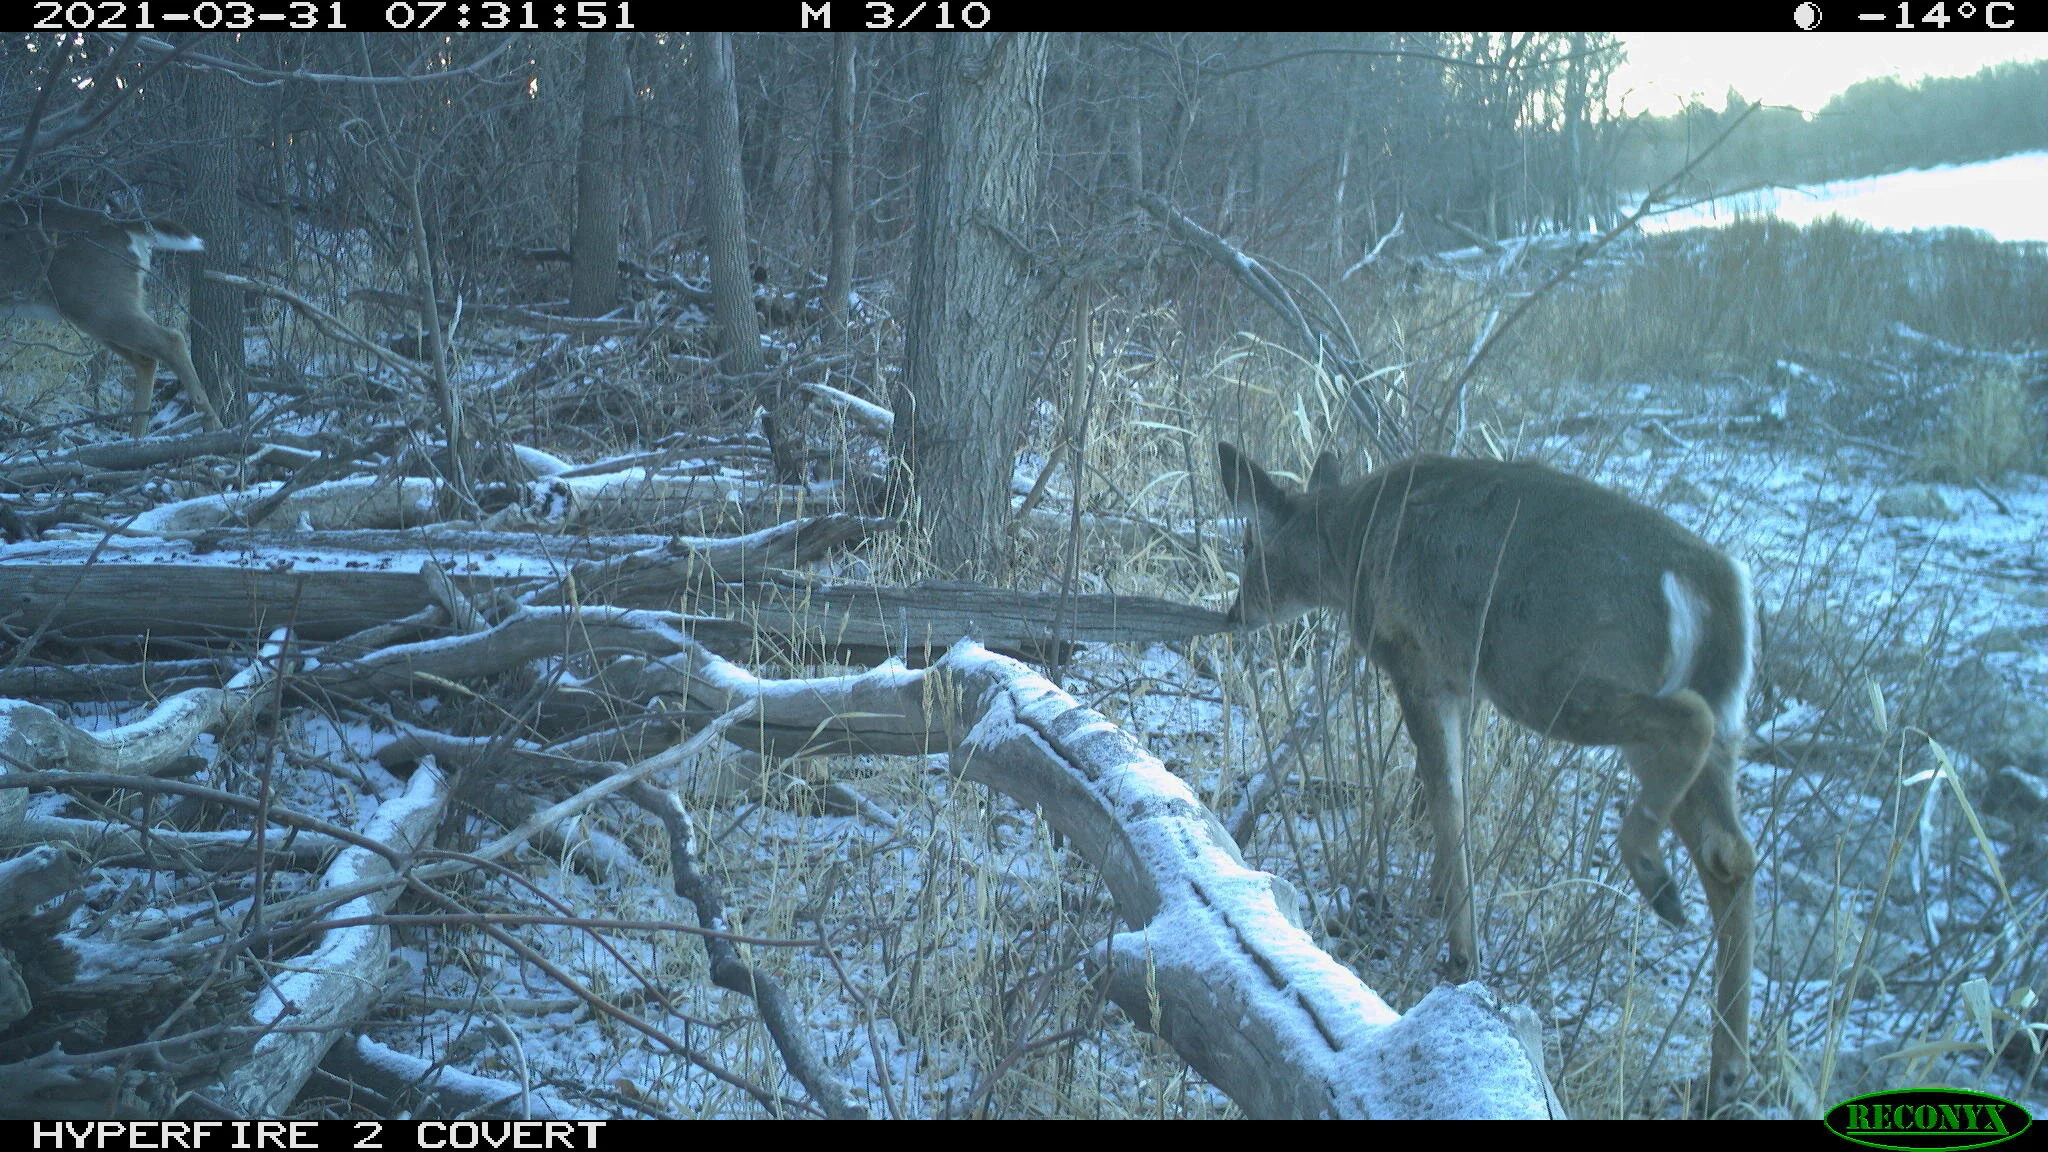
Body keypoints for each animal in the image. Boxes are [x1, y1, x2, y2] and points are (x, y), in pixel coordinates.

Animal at [1, 199, 224, 436]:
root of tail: (120, 223)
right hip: (102, 308)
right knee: (145, 358)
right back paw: (136, 437)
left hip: (99, 302)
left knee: (171, 340)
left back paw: (213, 426)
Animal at [1217, 441, 1757, 1115]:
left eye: (1249, 545)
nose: (1234, 611)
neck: (1350, 540)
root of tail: (1714, 585)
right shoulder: (1460, 677)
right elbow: (1457, 790)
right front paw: (1442, 901)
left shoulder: (1416, 656)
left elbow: (1445, 793)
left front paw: (1462, 953)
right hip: (1701, 715)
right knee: (1730, 851)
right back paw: (1724, 1071)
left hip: (1542, 667)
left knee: (1688, 723)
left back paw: (1650, 872)